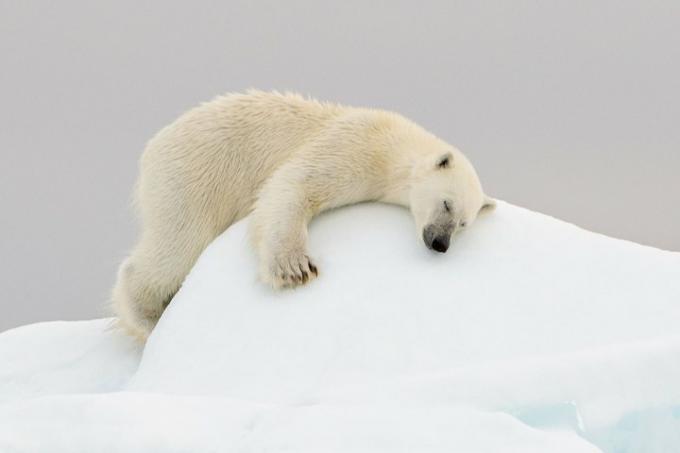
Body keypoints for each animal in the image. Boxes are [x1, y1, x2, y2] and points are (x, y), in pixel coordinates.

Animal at [111, 91, 494, 340]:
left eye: (463, 224)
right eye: (447, 204)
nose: (440, 243)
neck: (394, 150)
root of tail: (155, 146)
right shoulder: (354, 145)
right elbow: (294, 184)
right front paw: (295, 269)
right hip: (194, 176)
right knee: (179, 242)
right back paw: (147, 318)